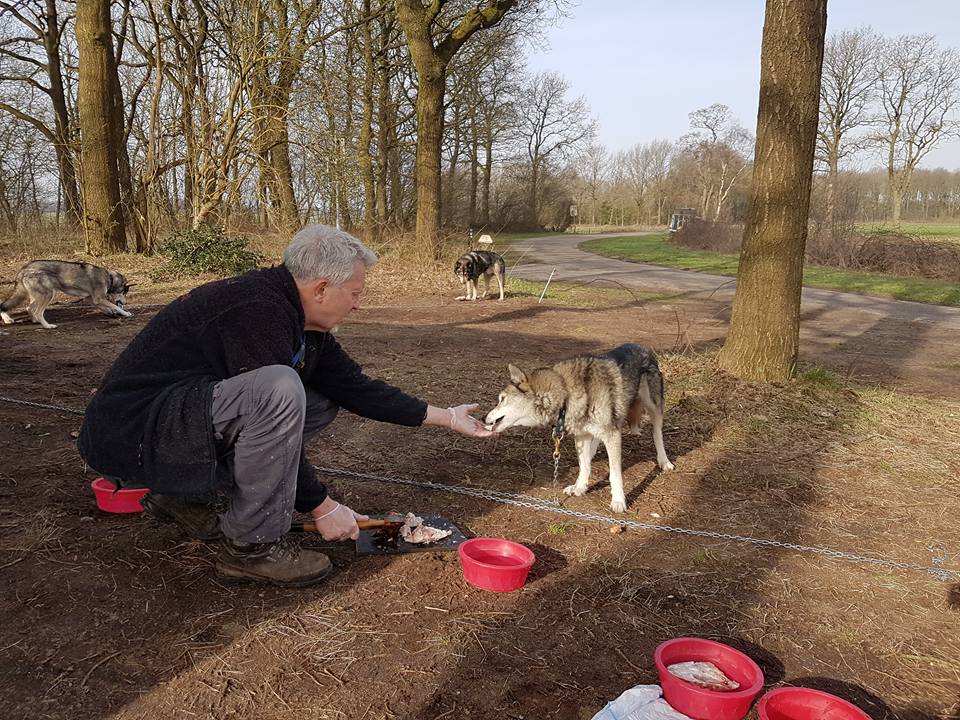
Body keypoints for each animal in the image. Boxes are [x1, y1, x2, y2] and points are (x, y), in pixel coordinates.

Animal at [0, 258, 132, 330]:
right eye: (124, 292)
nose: (126, 302)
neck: (109, 279)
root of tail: (22, 270)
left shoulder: (91, 299)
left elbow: (106, 308)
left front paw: (111, 313)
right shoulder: (98, 299)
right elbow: (114, 306)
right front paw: (125, 313)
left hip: (37, 296)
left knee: (29, 308)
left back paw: (35, 321)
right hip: (49, 294)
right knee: (36, 311)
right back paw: (47, 326)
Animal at [484, 344, 672, 512]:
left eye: (501, 399)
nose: (483, 418)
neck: (566, 393)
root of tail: (644, 348)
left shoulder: (612, 435)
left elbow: (614, 473)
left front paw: (618, 501)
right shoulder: (581, 436)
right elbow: (584, 465)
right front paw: (579, 488)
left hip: (654, 409)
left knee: (657, 434)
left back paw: (664, 461)